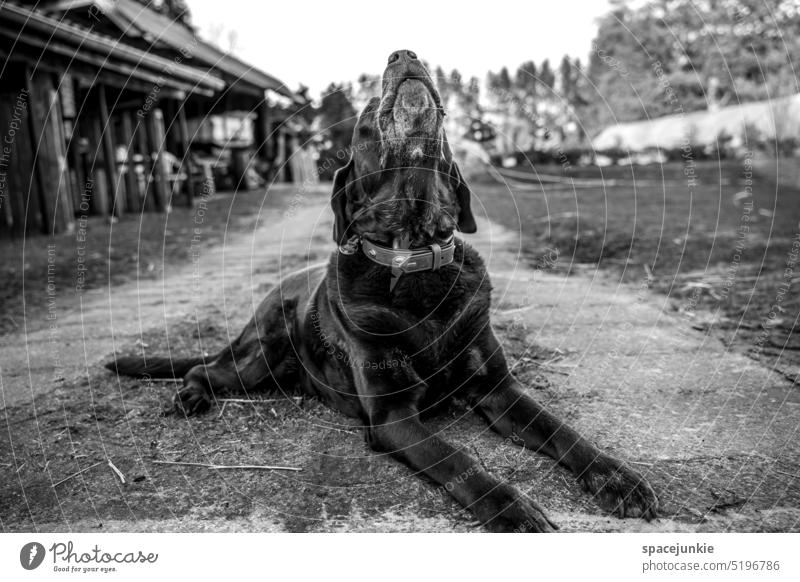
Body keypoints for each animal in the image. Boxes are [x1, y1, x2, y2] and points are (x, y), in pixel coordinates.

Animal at [104, 50, 656, 532]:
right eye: (367, 115)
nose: (403, 53)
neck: (413, 256)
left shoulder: (499, 389)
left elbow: (564, 432)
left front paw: (617, 477)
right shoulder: (393, 417)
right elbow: (460, 461)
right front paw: (513, 510)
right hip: (256, 358)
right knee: (203, 369)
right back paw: (190, 397)